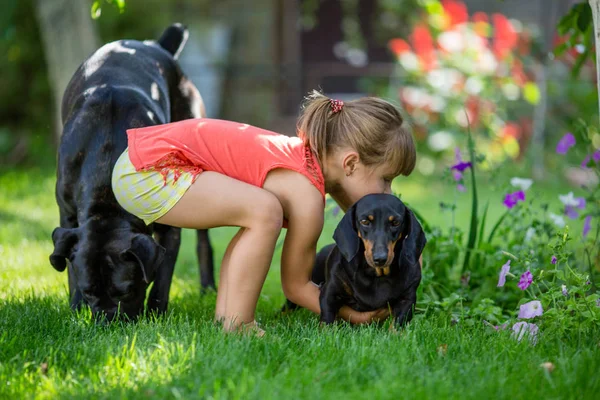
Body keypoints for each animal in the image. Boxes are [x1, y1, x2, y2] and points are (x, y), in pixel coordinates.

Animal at [50, 23, 216, 320]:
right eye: (90, 291)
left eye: (125, 291)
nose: (109, 323)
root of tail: (155, 45)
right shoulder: (68, 217)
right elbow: (69, 272)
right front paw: (76, 308)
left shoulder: (169, 230)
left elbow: (162, 278)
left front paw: (156, 314)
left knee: (203, 239)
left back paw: (208, 287)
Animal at [284, 194, 424, 324]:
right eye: (365, 221)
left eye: (395, 223)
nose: (380, 258)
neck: (376, 275)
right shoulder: (329, 293)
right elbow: (326, 321)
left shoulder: (407, 299)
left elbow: (397, 325)